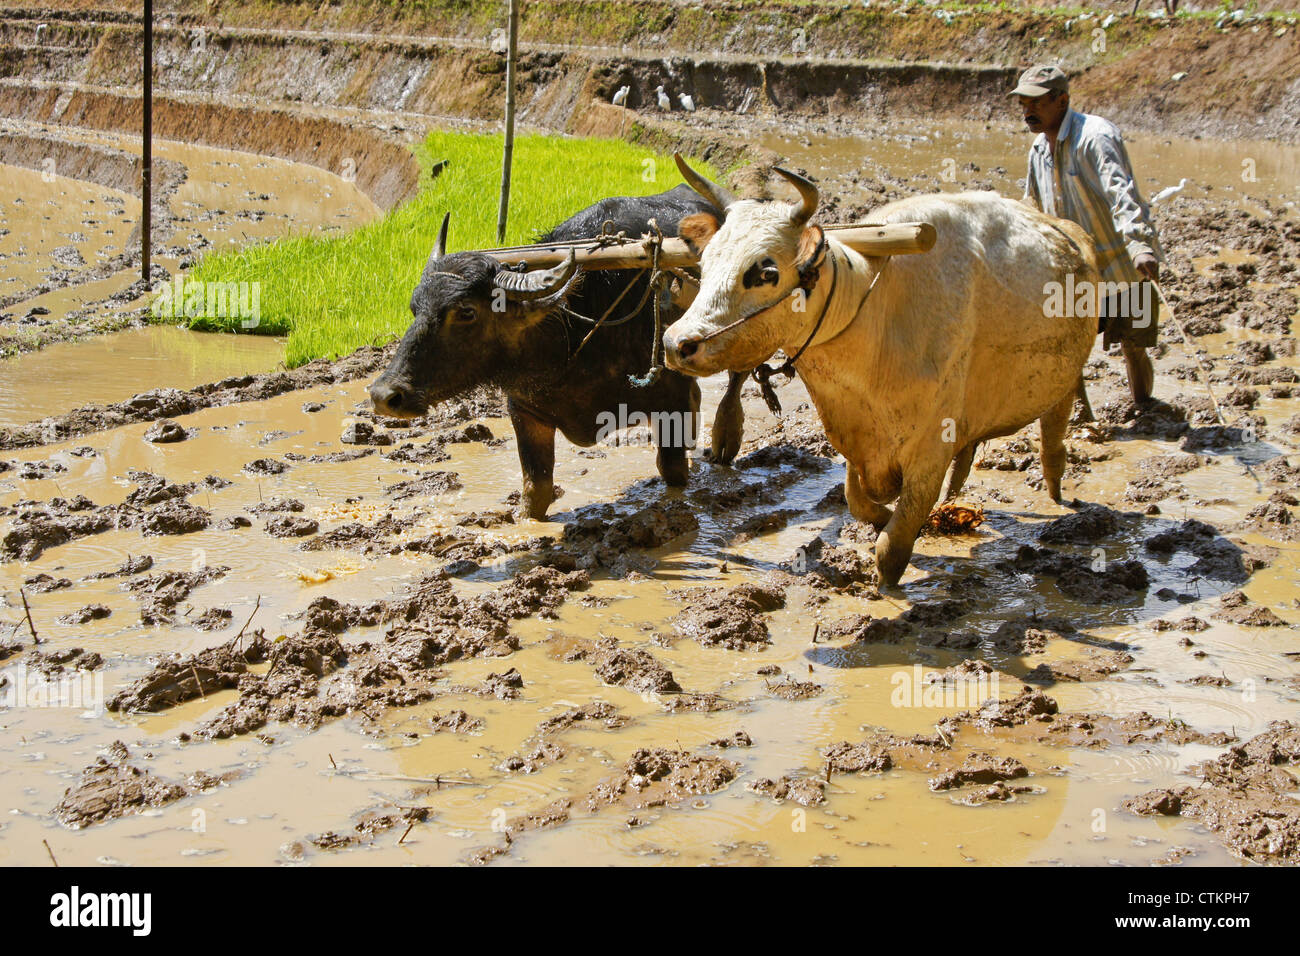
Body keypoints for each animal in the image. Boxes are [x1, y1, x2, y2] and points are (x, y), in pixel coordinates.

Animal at [371, 183, 748, 520]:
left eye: (466, 312)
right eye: (415, 307)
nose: (384, 395)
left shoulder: (671, 401)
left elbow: (672, 469)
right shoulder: (526, 411)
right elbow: (536, 489)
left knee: (737, 378)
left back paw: (725, 436)